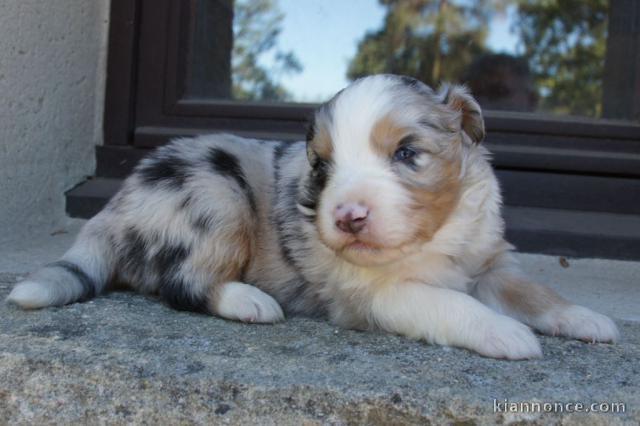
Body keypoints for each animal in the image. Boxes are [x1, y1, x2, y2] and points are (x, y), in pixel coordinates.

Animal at [7, 74, 616, 360]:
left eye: (406, 153)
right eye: (322, 164)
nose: (347, 217)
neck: (433, 239)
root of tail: (114, 205)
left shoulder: (490, 260)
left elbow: (533, 291)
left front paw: (586, 319)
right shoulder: (377, 293)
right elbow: (451, 303)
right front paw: (506, 333)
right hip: (216, 195)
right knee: (182, 282)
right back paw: (250, 301)